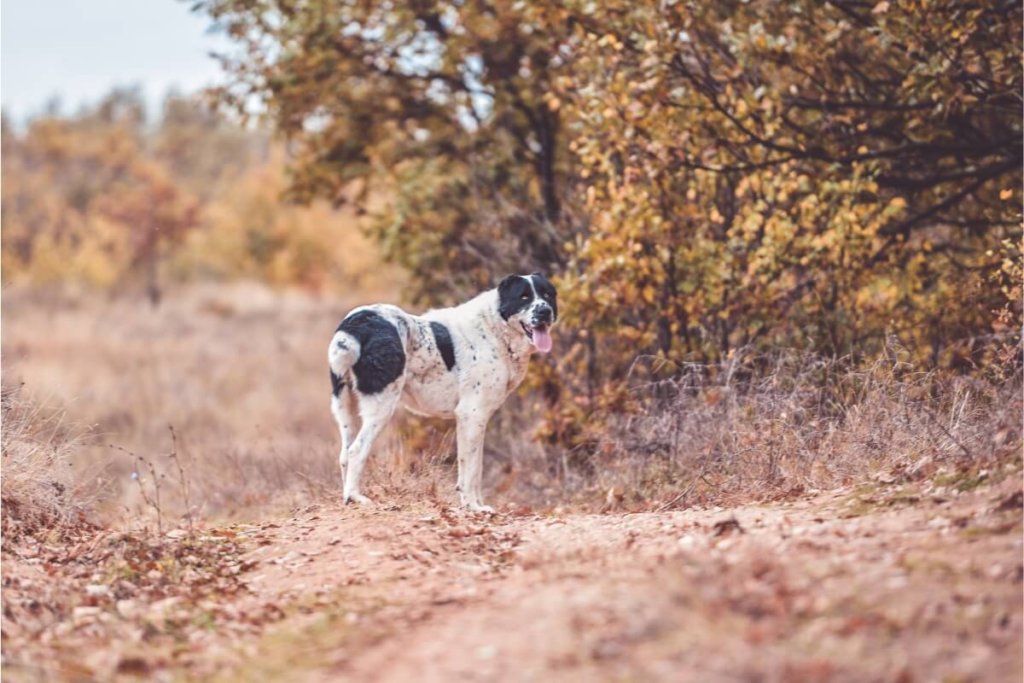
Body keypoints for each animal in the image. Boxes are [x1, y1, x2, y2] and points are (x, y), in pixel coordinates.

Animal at [327, 272, 557, 511]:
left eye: (548, 295)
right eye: (524, 297)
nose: (545, 311)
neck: (495, 327)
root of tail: (356, 323)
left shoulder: (475, 419)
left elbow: (476, 466)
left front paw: (477, 504)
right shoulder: (471, 414)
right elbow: (470, 469)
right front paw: (473, 507)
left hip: (345, 408)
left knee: (344, 454)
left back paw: (347, 497)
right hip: (382, 406)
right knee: (356, 450)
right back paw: (355, 497)